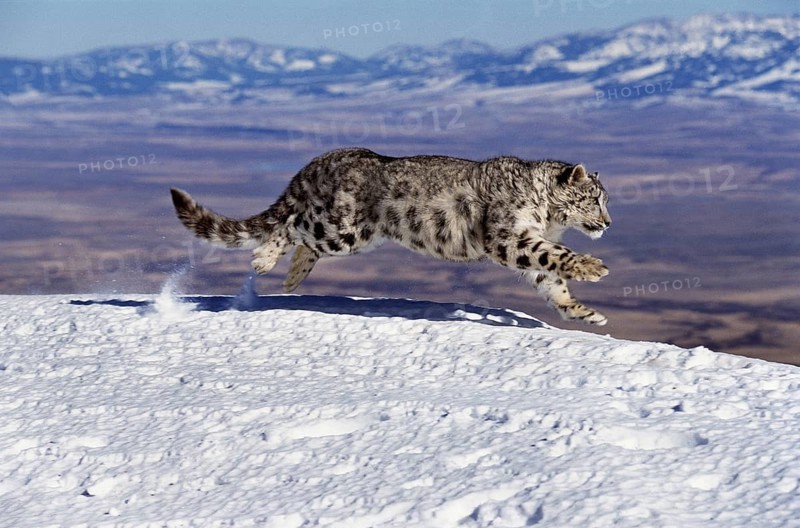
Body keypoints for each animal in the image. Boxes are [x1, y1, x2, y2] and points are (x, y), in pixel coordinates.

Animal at [170, 147, 612, 325]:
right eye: (594, 199)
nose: (608, 223)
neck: (547, 217)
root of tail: (325, 158)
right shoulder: (508, 237)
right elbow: (554, 254)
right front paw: (592, 267)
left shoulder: (524, 243)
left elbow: (549, 279)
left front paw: (583, 312)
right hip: (342, 227)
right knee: (292, 224)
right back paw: (265, 260)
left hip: (347, 234)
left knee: (301, 238)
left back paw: (292, 277)